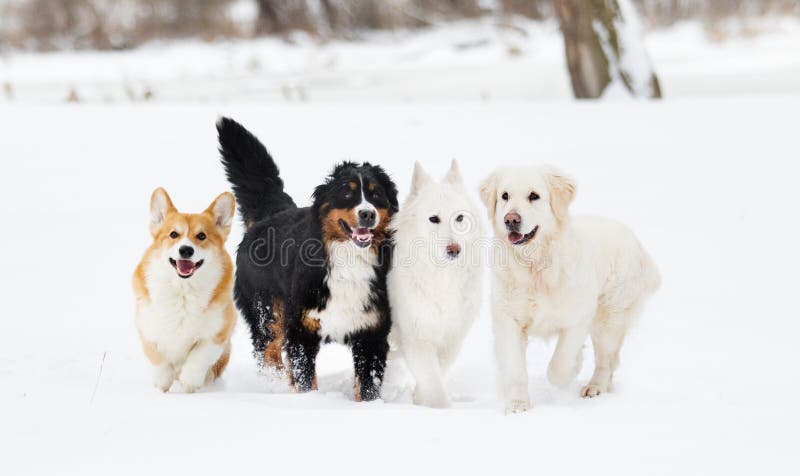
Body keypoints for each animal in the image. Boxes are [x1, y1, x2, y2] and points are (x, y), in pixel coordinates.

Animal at [217, 117, 398, 400]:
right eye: (347, 193)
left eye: (376, 193)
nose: (367, 214)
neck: (348, 260)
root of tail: (274, 214)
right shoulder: (301, 332)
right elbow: (305, 379)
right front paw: (309, 402)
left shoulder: (372, 333)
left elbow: (368, 385)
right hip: (268, 314)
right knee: (268, 353)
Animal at [386, 162, 482, 408]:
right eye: (433, 219)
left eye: (459, 218)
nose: (454, 250)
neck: (442, 277)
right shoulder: (417, 338)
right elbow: (433, 381)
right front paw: (439, 408)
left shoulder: (452, 338)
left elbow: (439, 369)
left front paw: (420, 398)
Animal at [478, 166, 660, 412]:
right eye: (505, 196)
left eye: (534, 196)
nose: (511, 219)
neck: (536, 266)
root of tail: (635, 241)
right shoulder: (508, 320)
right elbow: (515, 368)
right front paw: (517, 405)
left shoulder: (579, 317)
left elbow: (559, 365)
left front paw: (573, 367)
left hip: (608, 320)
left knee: (606, 360)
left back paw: (595, 387)